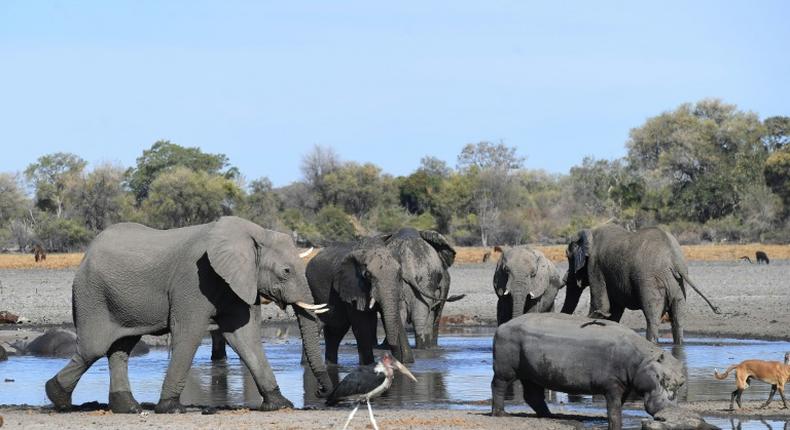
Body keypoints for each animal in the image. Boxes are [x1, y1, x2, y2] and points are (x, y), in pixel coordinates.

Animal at [44, 217, 334, 414]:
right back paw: (57, 398)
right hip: (91, 294)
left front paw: (280, 404)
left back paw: (128, 408)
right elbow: (189, 333)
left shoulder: (238, 282)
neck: (253, 233)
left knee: (120, 349)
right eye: (286, 271)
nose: (321, 391)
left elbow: (245, 337)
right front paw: (170, 408)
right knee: (93, 348)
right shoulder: (194, 280)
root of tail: (86, 254)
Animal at [492, 312, 704, 430]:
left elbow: (618, 408)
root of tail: (502, 325)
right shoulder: (612, 385)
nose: (670, 410)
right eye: (663, 378)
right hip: (506, 369)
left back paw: (551, 416)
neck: (642, 359)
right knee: (498, 386)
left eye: (681, 382)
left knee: (533, 395)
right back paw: (500, 414)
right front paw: (615, 426)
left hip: (532, 373)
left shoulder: (625, 386)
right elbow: (614, 410)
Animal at [560, 223, 720, 344]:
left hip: (650, 280)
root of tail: (674, 259)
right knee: (678, 319)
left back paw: (651, 342)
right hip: (678, 285)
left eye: (568, 257)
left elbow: (602, 307)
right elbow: (615, 311)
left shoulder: (595, 266)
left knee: (652, 317)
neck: (591, 232)